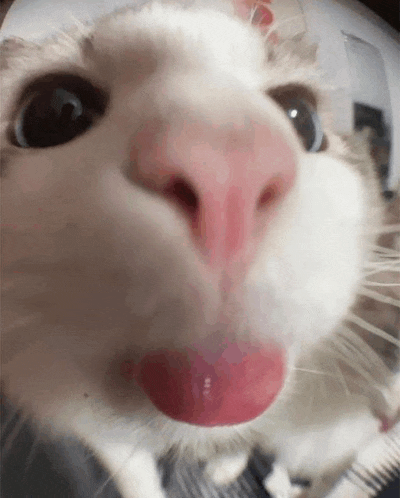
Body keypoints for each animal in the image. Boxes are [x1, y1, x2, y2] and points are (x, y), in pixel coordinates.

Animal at [0, 0, 398, 498]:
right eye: (55, 112)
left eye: (302, 117)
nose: (227, 165)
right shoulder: (86, 424)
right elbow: (133, 474)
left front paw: (228, 464)